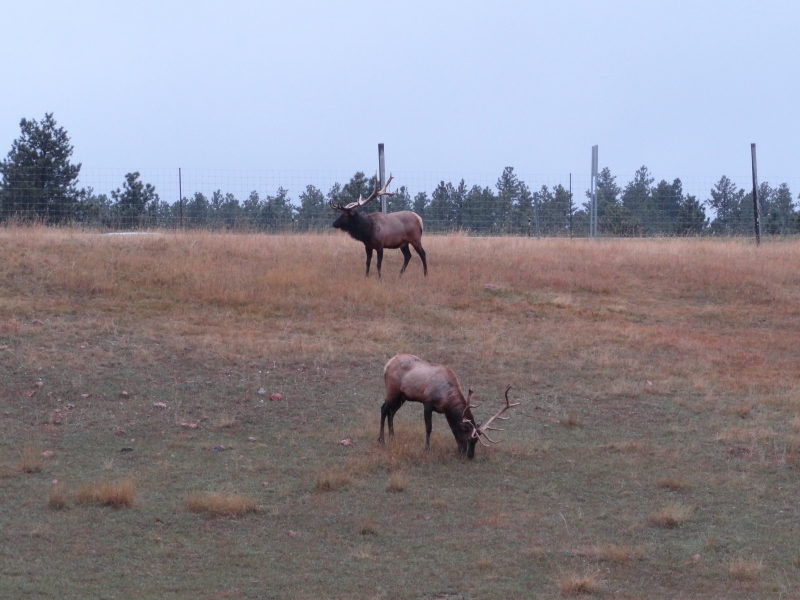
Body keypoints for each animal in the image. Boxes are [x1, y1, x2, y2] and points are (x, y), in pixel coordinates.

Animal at [379, 354, 520, 458]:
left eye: (476, 441)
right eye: (468, 439)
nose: (470, 456)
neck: (447, 397)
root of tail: (387, 364)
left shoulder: (446, 411)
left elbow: (453, 428)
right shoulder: (427, 403)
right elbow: (429, 427)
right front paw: (427, 449)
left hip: (402, 396)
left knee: (391, 412)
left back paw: (392, 437)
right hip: (392, 390)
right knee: (384, 409)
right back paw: (381, 439)